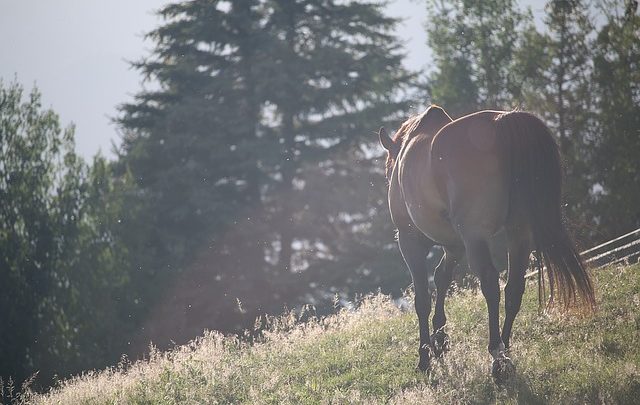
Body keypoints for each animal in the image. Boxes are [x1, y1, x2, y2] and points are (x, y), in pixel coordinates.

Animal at [380, 105, 596, 382]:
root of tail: (503, 122)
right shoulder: (455, 245)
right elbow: (442, 278)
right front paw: (440, 341)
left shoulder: (411, 242)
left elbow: (422, 299)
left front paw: (425, 356)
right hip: (519, 234)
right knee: (513, 288)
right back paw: (505, 349)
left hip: (476, 237)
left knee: (491, 284)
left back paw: (497, 356)